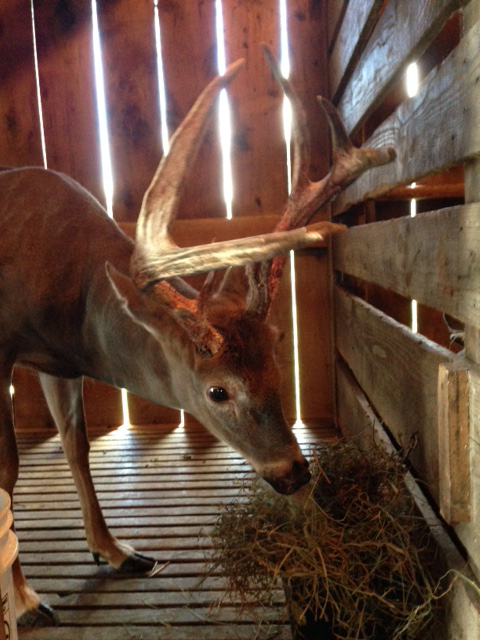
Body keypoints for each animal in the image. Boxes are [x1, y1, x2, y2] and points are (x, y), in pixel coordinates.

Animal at [0, 46, 394, 627]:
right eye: (217, 390)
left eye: (278, 362)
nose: (294, 472)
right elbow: (8, 468)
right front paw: (27, 601)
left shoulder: (58, 363)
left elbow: (76, 443)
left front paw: (115, 550)